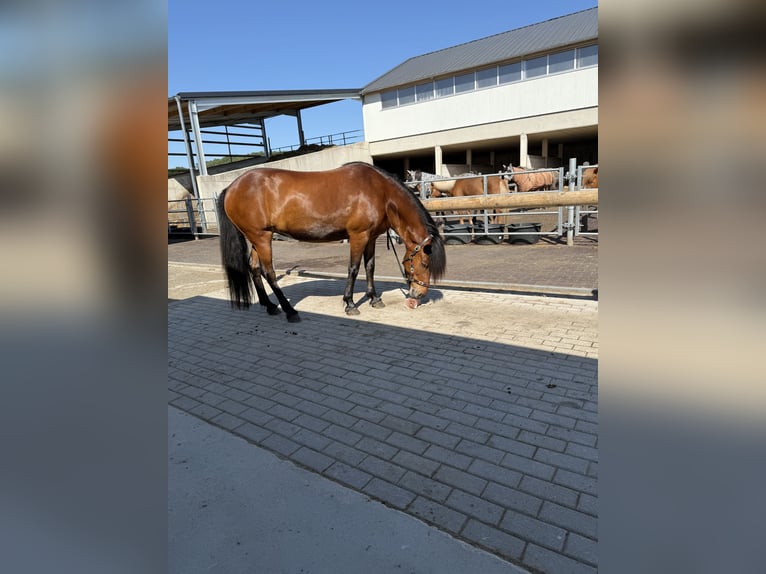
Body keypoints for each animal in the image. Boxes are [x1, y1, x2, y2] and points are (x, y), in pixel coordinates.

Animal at [217, 162, 447, 322]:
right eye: (424, 263)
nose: (419, 295)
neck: (379, 192)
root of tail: (231, 187)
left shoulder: (370, 238)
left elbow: (370, 267)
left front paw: (374, 299)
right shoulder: (358, 236)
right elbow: (354, 269)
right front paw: (350, 304)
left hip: (257, 238)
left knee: (254, 268)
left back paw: (270, 306)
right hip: (262, 238)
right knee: (269, 272)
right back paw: (290, 311)